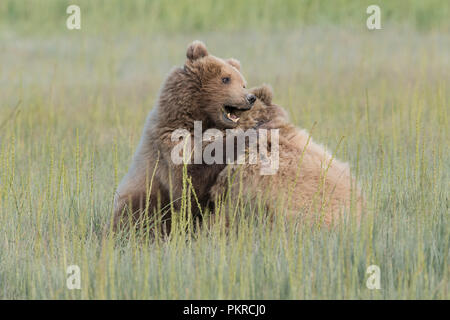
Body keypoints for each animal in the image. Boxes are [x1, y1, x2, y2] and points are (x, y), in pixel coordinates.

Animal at [112, 41, 258, 234]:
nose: (250, 97)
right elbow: (188, 181)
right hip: (140, 196)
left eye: (243, 84)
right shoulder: (170, 141)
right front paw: (246, 136)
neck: (199, 119)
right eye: (226, 79)